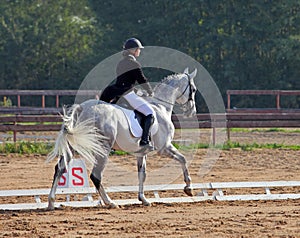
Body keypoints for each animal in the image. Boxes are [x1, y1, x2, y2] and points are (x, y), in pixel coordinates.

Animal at [46, 68, 197, 209]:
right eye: (194, 90)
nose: (191, 112)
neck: (161, 107)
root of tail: (82, 108)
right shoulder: (164, 147)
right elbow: (183, 159)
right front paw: (188, 188)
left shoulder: (141, 153)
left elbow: (142, 174)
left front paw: (143, 199)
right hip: (103, 148)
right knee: (95, 175)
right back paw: (110, 202)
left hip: (75, 145)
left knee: (60, 168)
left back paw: (51, 203)